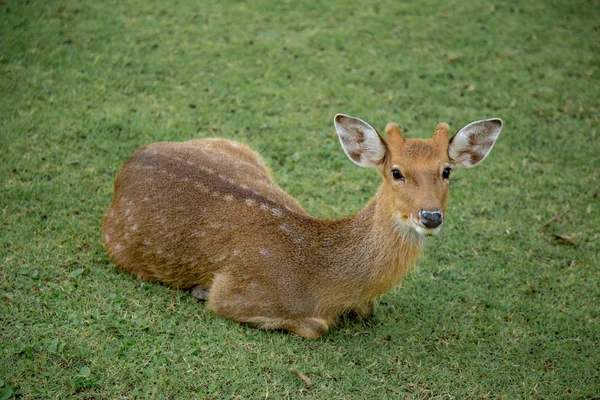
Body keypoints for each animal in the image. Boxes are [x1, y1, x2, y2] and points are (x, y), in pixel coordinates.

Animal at [102, 114, 502, 340]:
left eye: (446, 171)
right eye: (396, 172)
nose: (430, 216)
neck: (320, 280)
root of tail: (129, 163)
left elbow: (368, 308)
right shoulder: (236, 292)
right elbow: (316, 327)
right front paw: (200, 291)